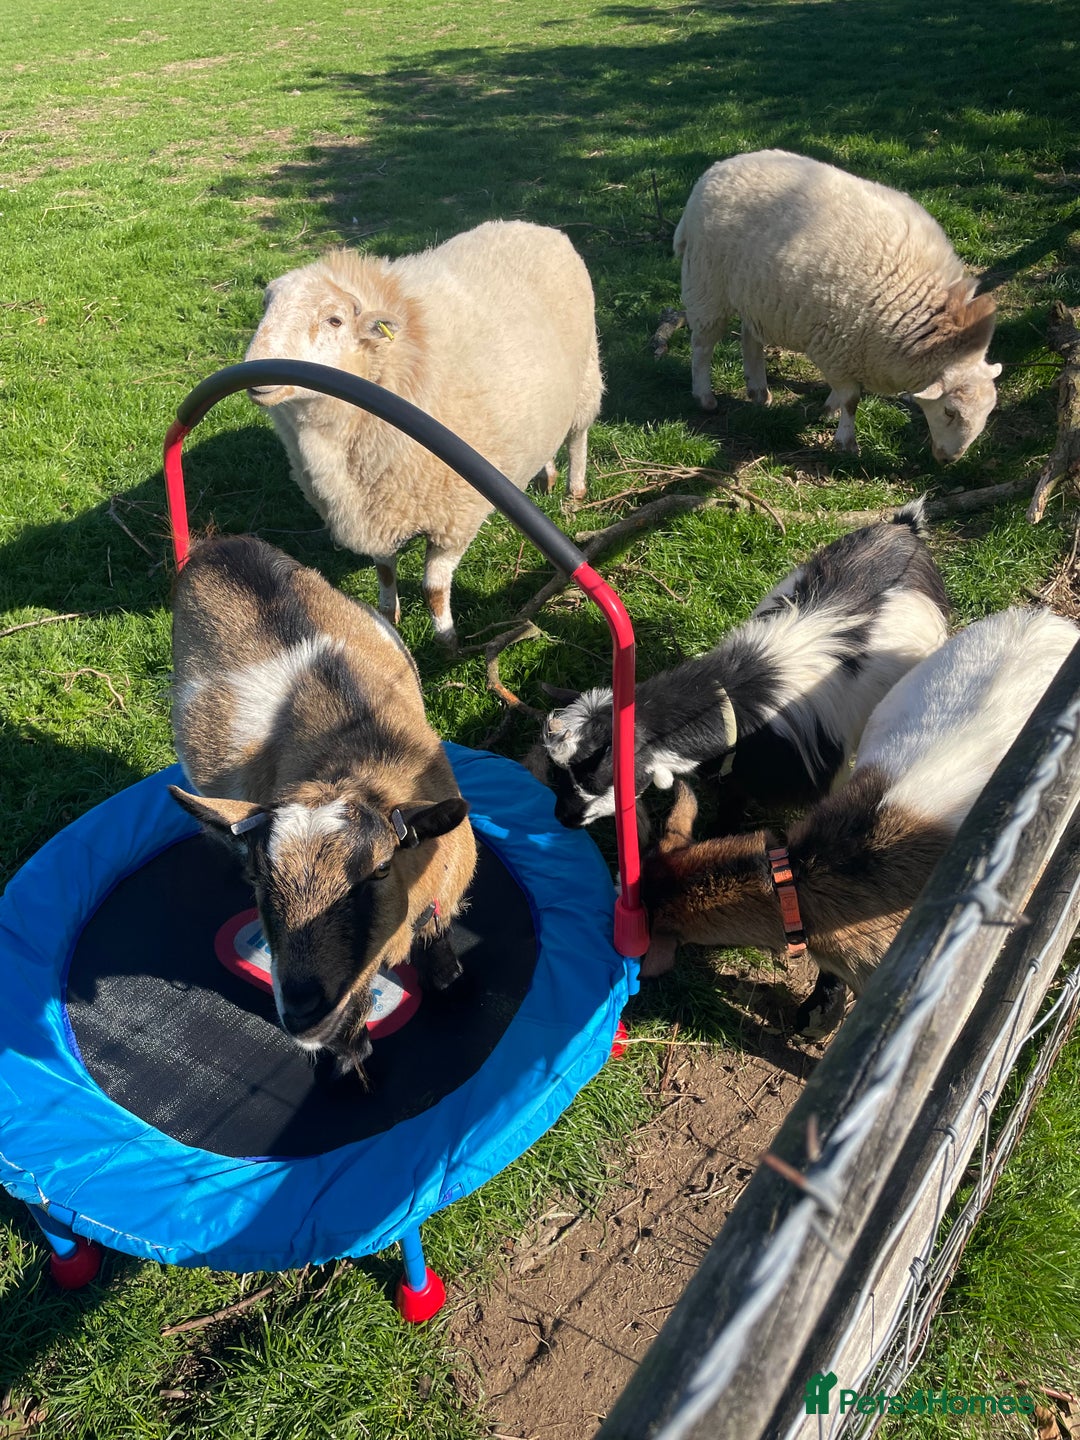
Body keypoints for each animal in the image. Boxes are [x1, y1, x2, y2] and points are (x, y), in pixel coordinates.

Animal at [168, 534, 477, 1081]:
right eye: (260, 877)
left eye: (380, 869)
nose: (302, 1006)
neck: (357, 760)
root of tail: (221, 544)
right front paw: (350, 1050)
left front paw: (445, 973)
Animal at [543, 500, 948, 831]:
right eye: (558, 774)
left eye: (598, 776)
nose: (564, 817)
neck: (742, 695)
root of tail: (902, 528)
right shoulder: (735, 773)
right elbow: (731, 803)